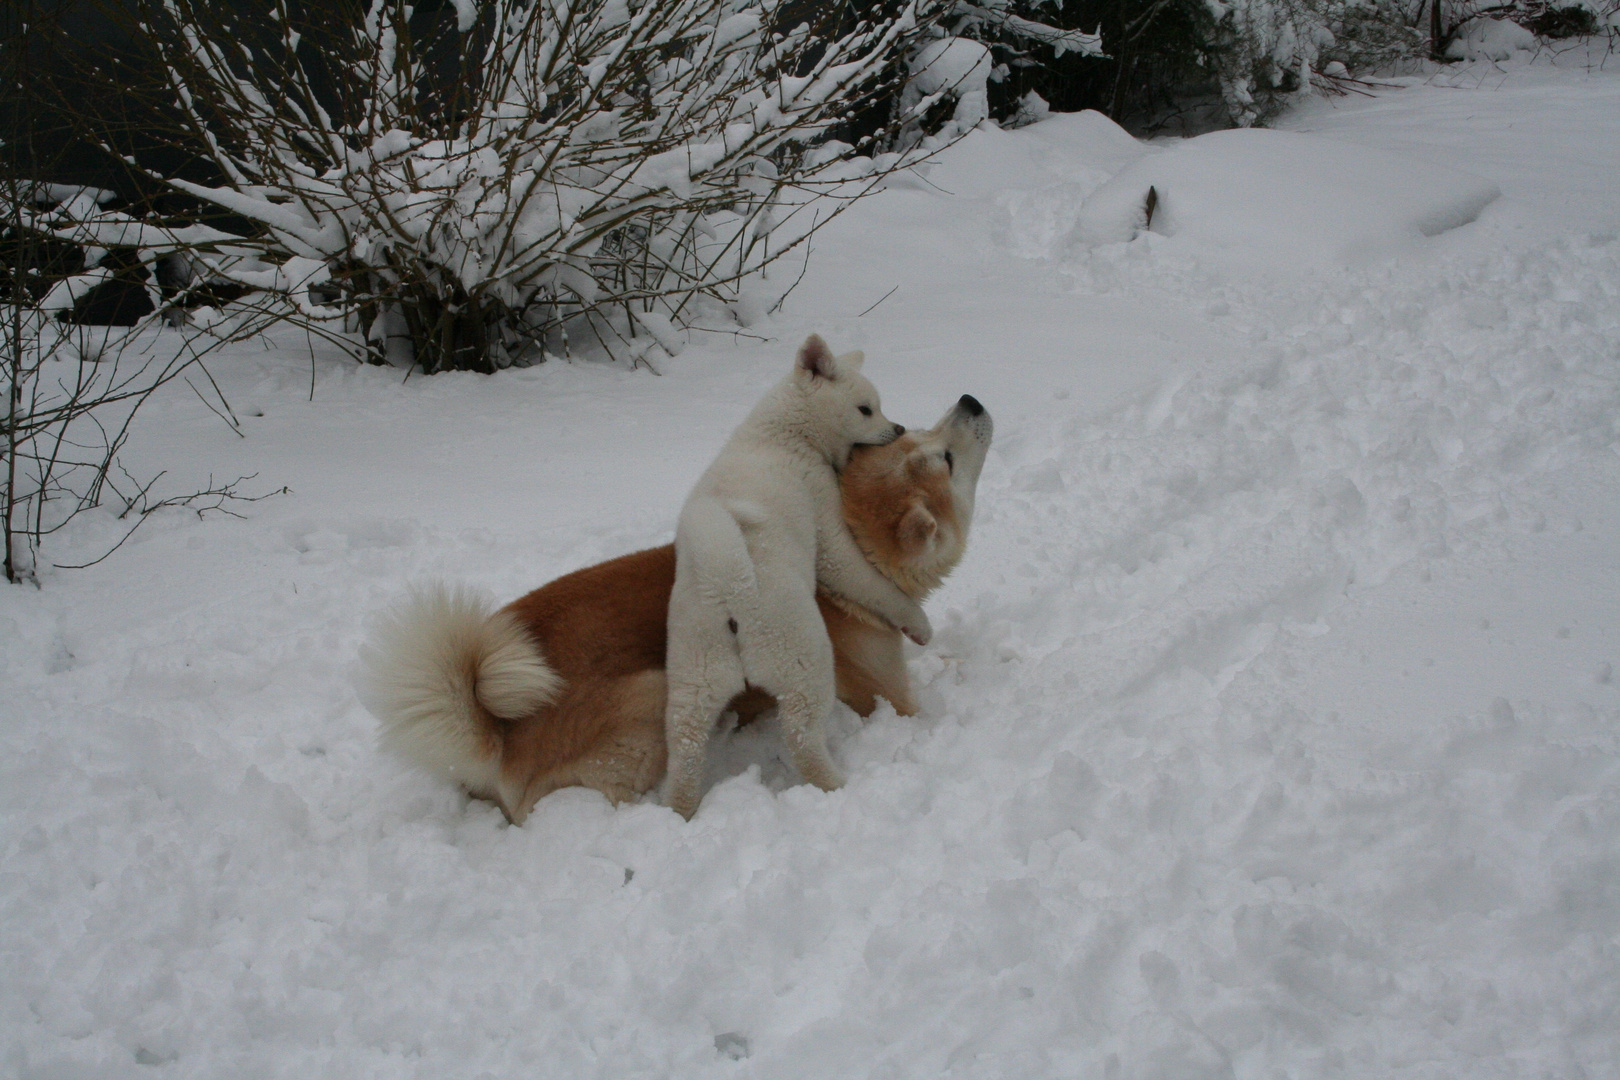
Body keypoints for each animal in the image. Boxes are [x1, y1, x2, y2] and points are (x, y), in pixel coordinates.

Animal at [660, 333, 939, 816]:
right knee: (803, 740)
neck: (785, 433)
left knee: (686, 749)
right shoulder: (828, 528)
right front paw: (917, 624)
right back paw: (837, 787)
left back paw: (680, 812)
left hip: (694, 676)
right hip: (803, 662)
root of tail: (728, 587)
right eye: (866, 409)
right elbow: (871, 583)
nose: (899, 428)